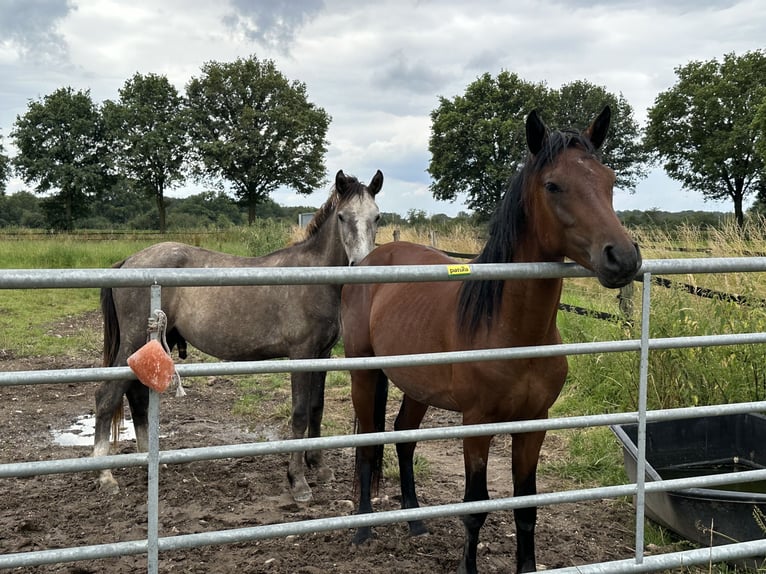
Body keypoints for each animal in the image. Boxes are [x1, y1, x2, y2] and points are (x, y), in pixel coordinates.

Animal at [96, 170, 384, 504]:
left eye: (377, 217)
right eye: (341, 216)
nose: (361, 267)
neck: (314, 278)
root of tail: (128, 261)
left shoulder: (321, 355)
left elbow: (316, 409)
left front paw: (319, 467)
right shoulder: (301, 354)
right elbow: (299, 414)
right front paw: (298, 481)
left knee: (137, 396)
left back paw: (148, 464)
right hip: (133, 341)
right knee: (107, 396)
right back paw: (105, 476)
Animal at [342, 109, 640, 574]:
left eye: (609, 180)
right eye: (553, 185)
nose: (623, 257)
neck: (514, 333)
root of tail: (369, 260)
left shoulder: (534, 424)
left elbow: (526, 507)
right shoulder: (476, 425)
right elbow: (475, 507)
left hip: (416, 386)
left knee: (404, 437)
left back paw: (415, 522)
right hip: (364, 374)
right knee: (368, 446)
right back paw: (363, 530)